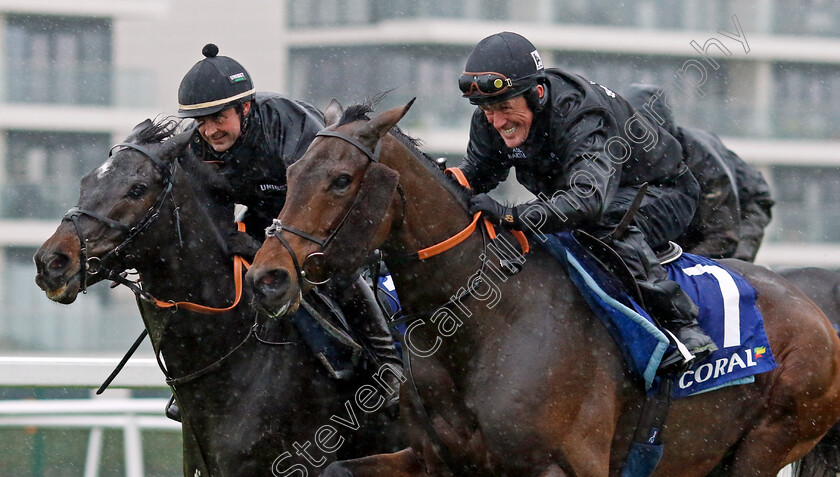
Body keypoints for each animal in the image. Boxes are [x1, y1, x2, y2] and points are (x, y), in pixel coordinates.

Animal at [243, 101, 840, 476]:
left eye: (341, 179)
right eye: (290, 172)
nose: (267, 277)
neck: (487, 325)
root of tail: (818, 314)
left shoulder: (564, 464)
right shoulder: (436, 460)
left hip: (767, 441)